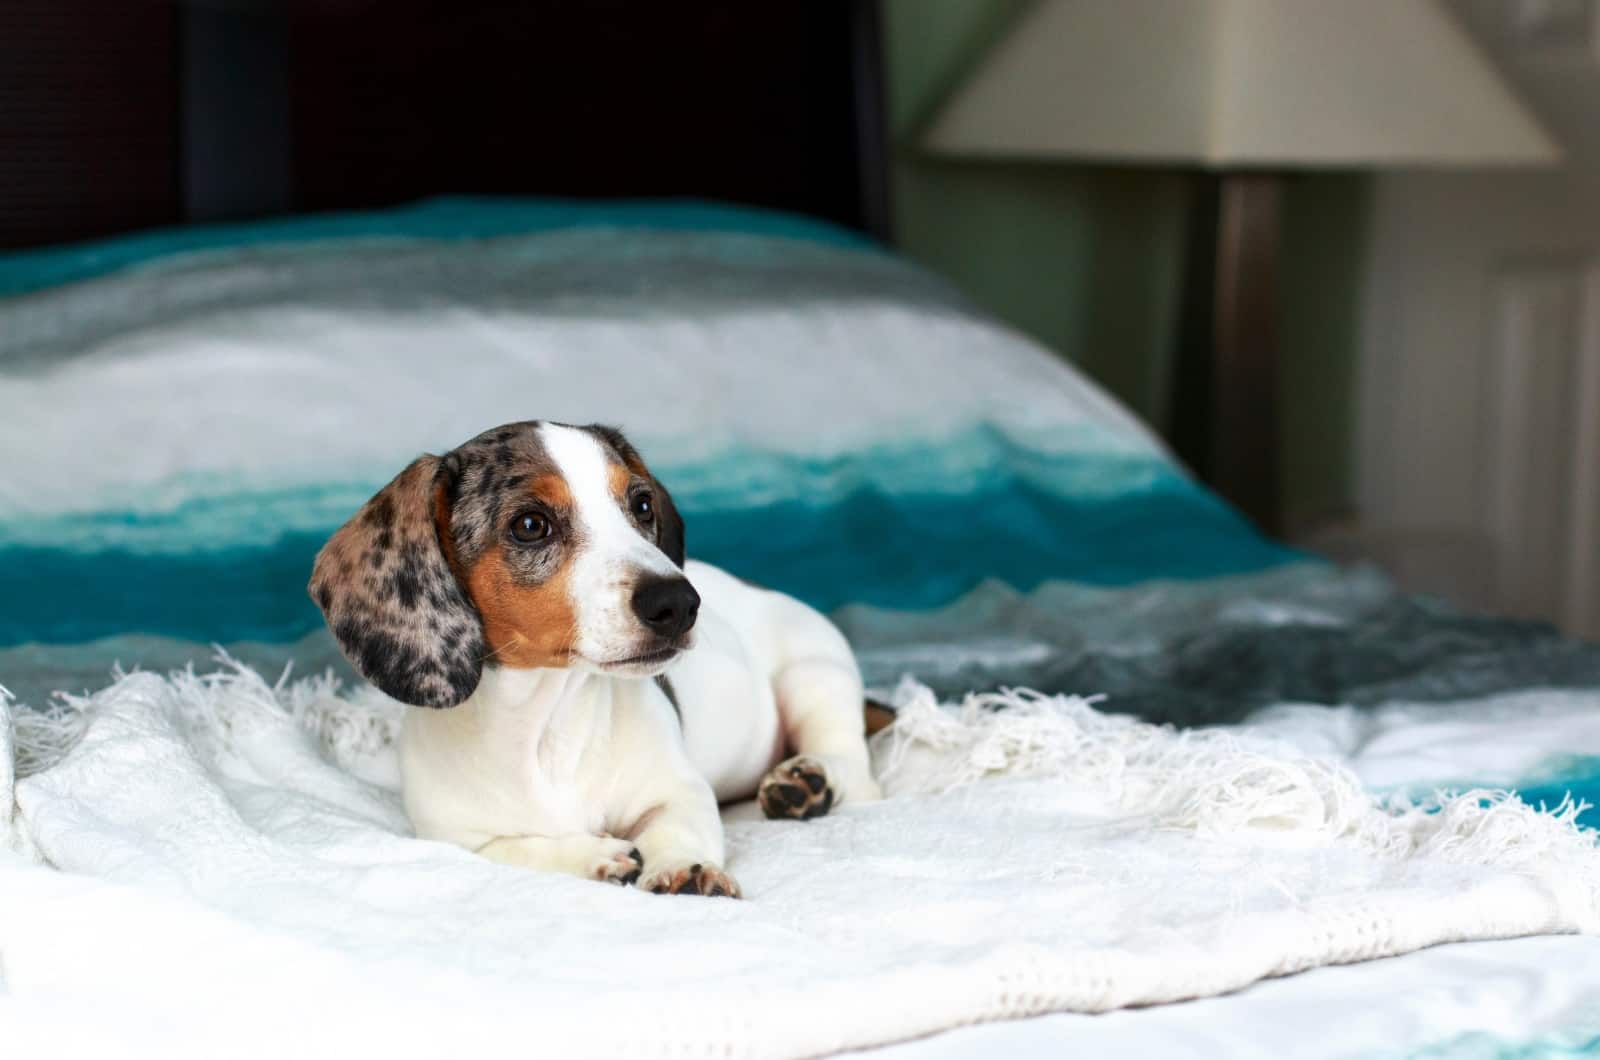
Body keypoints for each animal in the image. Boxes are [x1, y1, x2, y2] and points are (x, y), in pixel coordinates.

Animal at [308, 422, 889, 896]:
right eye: (530, 525)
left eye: (642, 505)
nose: (679, 603)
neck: (548, 724)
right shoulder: (455, 837)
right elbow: (519, 848)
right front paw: (594, 856)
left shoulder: (678, 790)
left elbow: (679, 823)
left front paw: (684, 869)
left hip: (814, 676)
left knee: (855, 770)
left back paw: (808, 781)